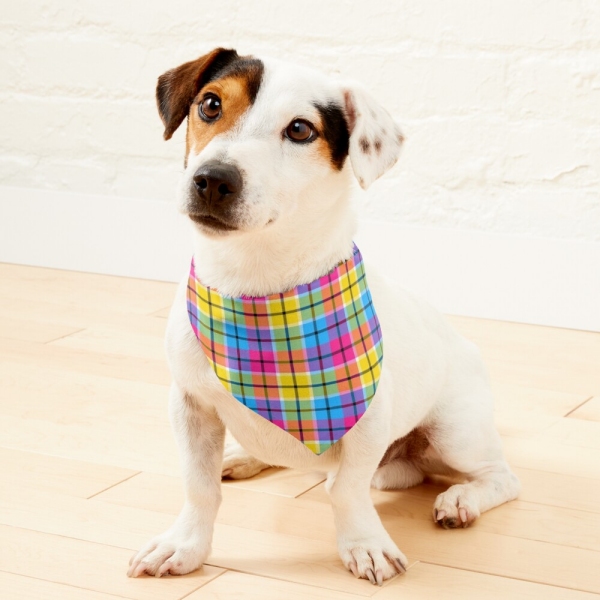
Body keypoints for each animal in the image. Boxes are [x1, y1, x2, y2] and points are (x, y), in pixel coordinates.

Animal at [127, 48, 520, 584]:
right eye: (210, 104)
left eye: (299, 130)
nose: (213, 179)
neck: (256, 284)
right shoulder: (190, 405)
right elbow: (199, 486)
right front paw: (185, 545)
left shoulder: (369, 420)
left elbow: (347, 490)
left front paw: (365, 544)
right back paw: (243, 456)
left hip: (456, 432)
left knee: (500, 477)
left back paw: (461, 499)